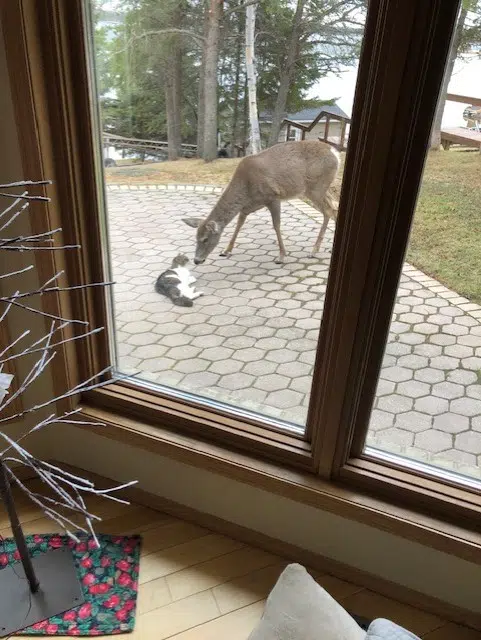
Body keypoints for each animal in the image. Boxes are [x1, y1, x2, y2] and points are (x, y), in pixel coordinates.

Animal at [182, 141, 340, 264]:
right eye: (196, 238)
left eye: (205, 239)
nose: (196, 260)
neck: (246, 188)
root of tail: (335, 153)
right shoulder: (250, 205)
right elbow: (239, 223)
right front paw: (226, 250)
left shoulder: (273, 196)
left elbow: (276, 225)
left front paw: (281, 256)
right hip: (320, 189)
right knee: (334, 206)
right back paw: (325, 248)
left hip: (316, 187)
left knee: (328, 210)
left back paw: (313, 251)